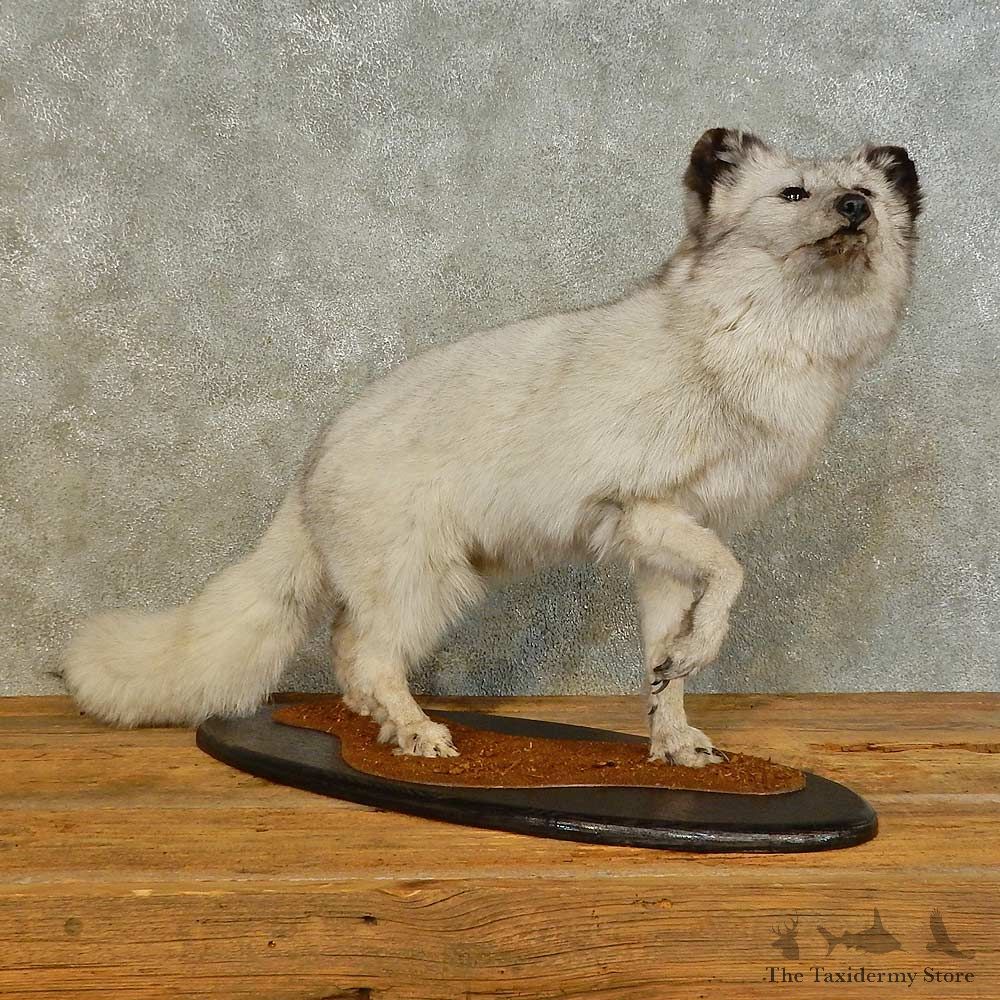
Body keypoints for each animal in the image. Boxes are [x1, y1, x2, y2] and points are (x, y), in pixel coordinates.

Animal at [63, 128, 921, 766]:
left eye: (870, 197)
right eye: (793, 194)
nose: (855, 207)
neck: (768, 343)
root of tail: (312, 460)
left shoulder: (662, 550)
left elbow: (663, 660)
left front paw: (675, 734)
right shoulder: (644, 508)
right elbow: (733, 576)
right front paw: (698, 659)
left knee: (348, 649)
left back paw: (376, 724)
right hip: (429, 582)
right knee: (370, 653)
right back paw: (415, 733)